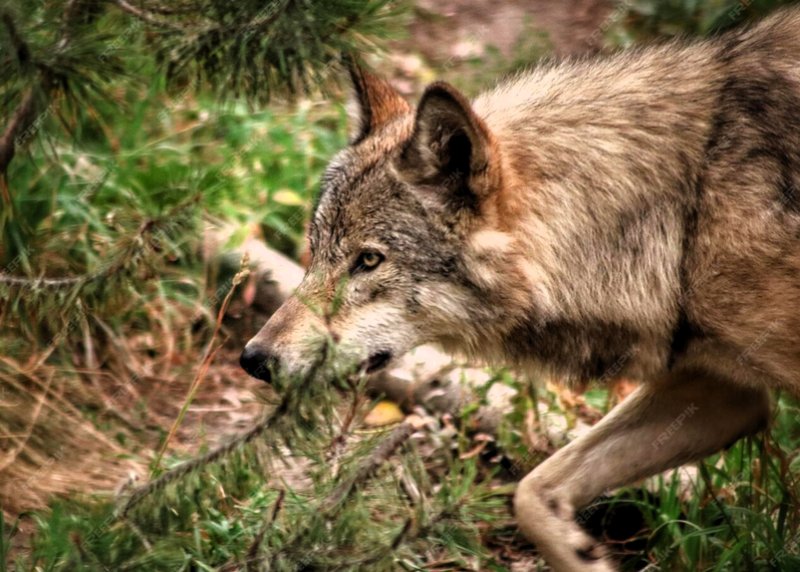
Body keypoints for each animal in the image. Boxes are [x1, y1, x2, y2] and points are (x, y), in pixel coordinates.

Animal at [241, 8, 800, 570]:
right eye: (316, 250)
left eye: (369, 260)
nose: (254, 358)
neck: (689, 208)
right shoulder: (724, 389)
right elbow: (532, 491)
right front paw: (586, 555)